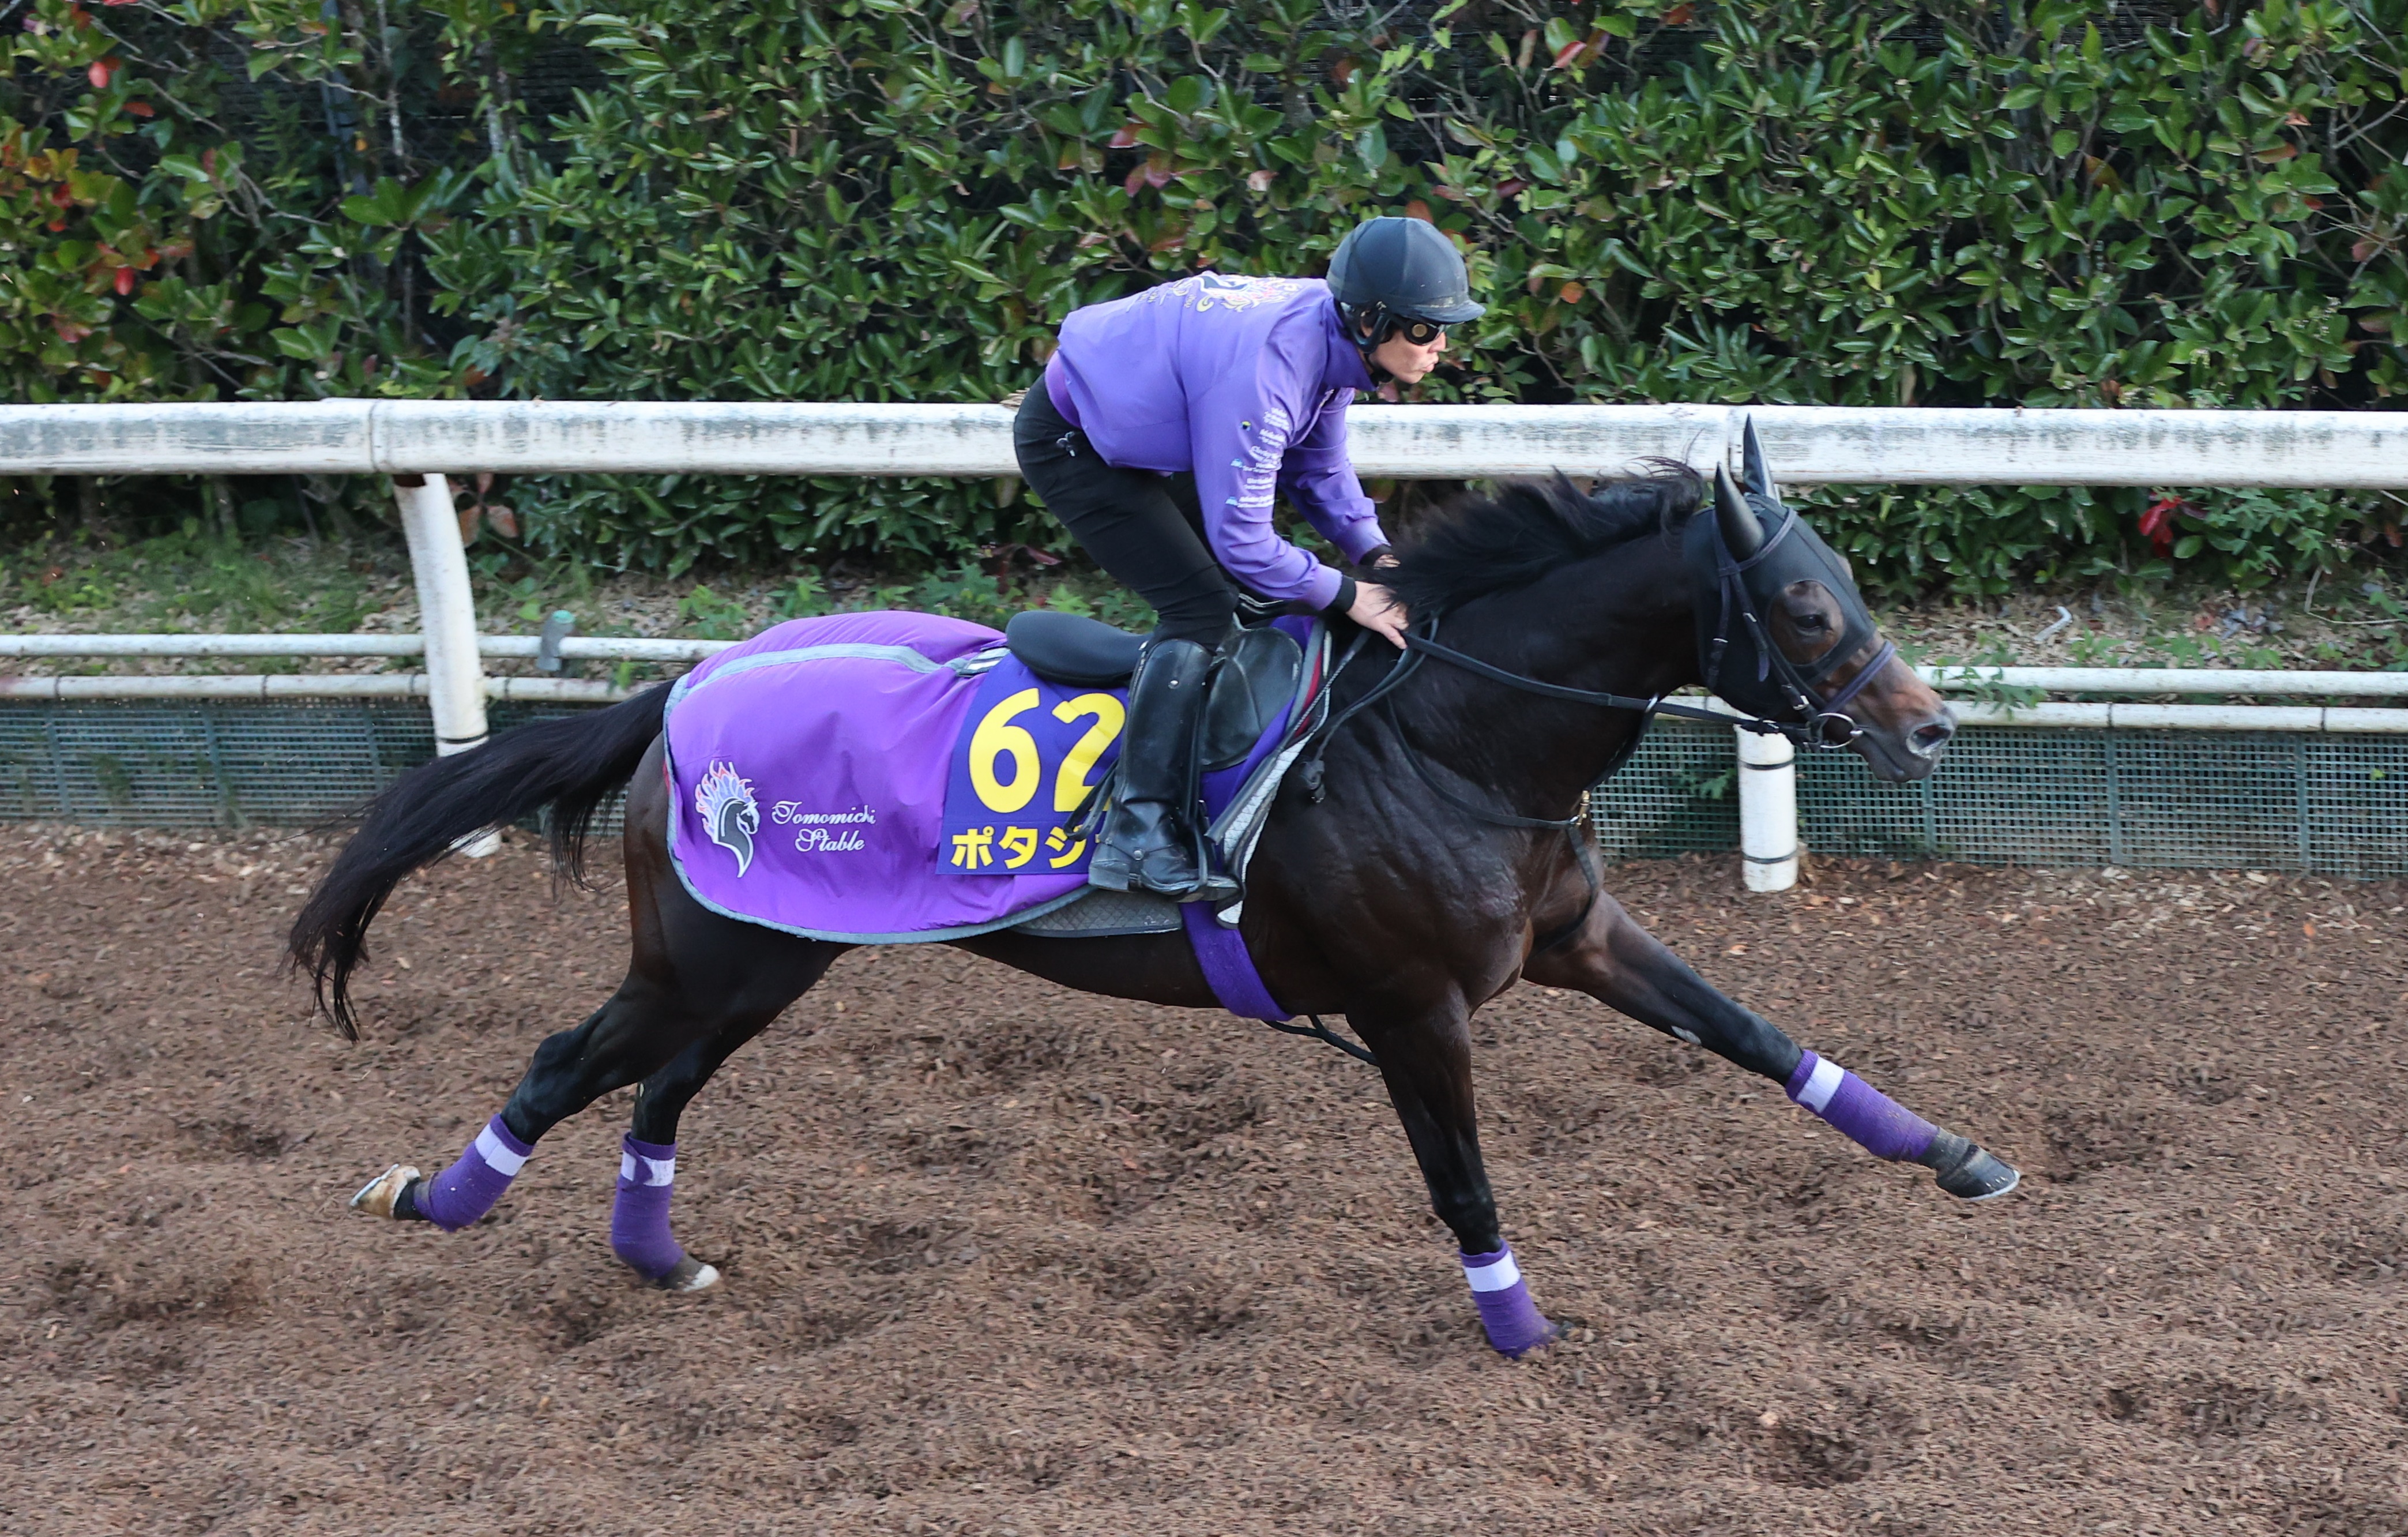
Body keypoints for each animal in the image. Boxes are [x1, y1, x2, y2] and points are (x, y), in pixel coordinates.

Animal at [291, 445, 2022, 1358]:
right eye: (1802, 602)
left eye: (1847, 583)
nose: (1930, 726)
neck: (1449, 737)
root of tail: (682, 686)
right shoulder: (1411, 1008)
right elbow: (1463, 1179)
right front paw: (1523, 1333)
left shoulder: (1574, 935)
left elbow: (1756, 1033)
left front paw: (1958, 1154)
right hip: (716, 953)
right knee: (565, 1064)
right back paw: (430, 1198)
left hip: (777, 955)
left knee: (656, 1086)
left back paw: (656, 1255)